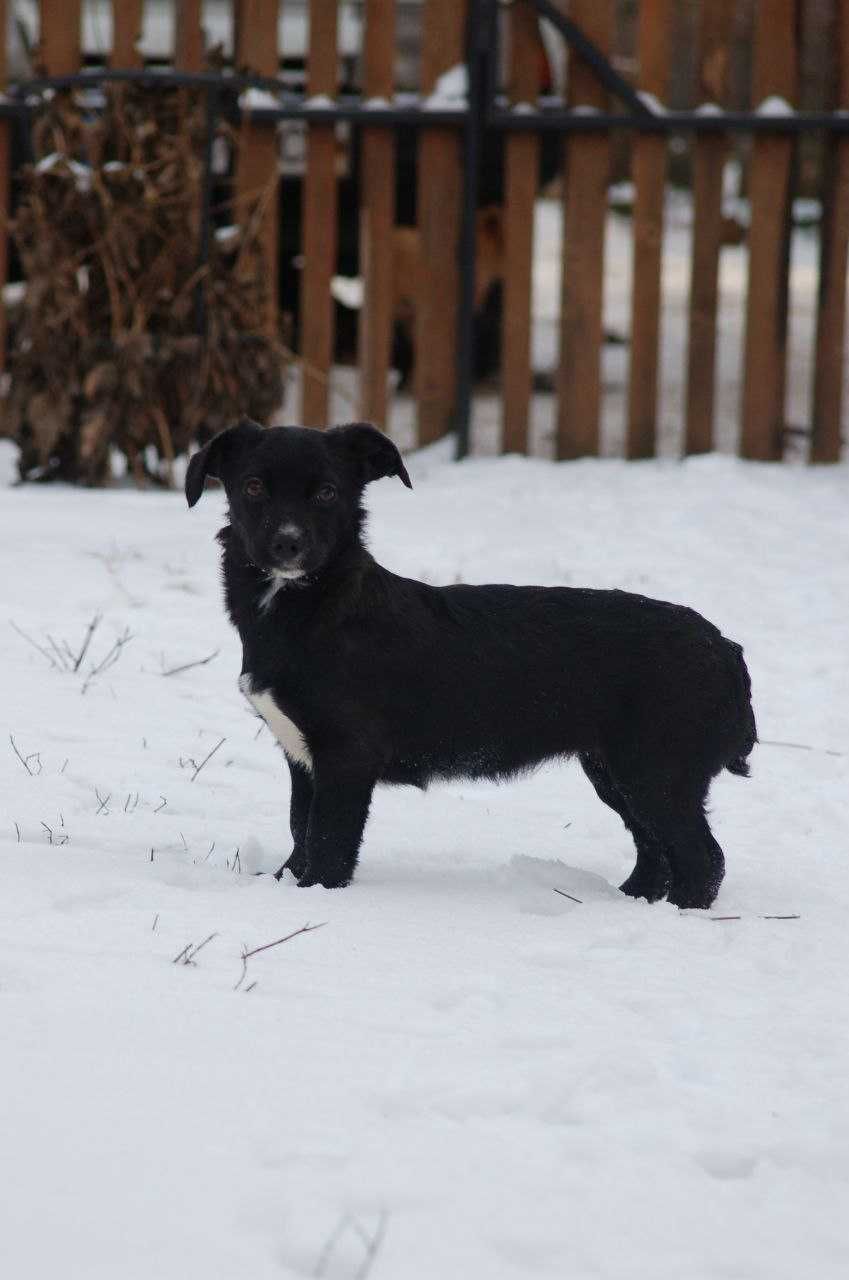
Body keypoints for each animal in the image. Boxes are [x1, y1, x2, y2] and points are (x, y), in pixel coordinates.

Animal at [185, 419, 758, 911]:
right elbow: (299, 827)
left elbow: (327, 839)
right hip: (614, 770)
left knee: (701, 859)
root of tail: (725, 647)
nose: (288, 544)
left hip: (656, 769)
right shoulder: (302, 756)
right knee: (655, 851)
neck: (315, 608)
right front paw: (283, 884)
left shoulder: (347, 754)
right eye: (253, 486)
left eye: (327, 493)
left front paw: (315, 896)